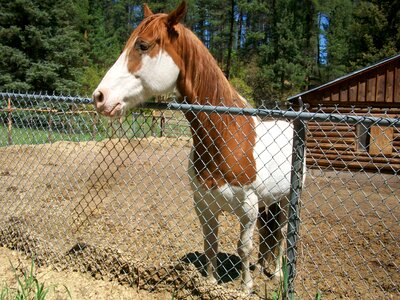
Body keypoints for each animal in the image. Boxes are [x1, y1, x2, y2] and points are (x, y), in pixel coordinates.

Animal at [93, 1, 300, 294]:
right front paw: (211, 283)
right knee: (268, 234)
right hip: (269, 202)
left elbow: (244, 248)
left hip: (286, 200)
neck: (226, 135)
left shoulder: (248, 208)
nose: (100, 97)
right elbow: (210, 245)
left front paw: (245, 288)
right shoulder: (203, 205)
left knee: (280, 236)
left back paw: (278, 275)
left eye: (143, 45)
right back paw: (262, 269)